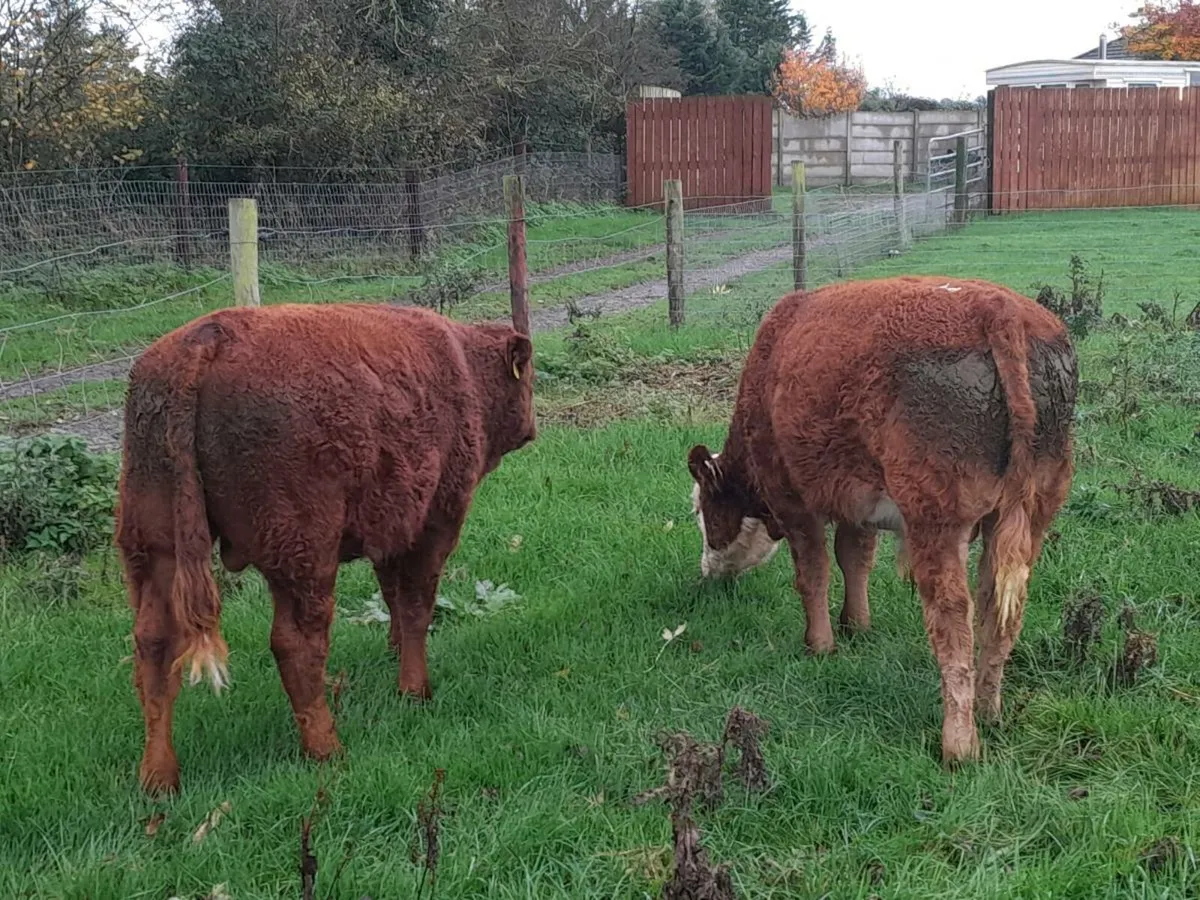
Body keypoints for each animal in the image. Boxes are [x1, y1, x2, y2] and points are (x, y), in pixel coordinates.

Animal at [115, 302, 536, 794]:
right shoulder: (434, 521)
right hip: (303, 557)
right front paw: (415, 690)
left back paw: (158, 776)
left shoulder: (389, 527)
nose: (532, 428)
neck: (463, 364)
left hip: (156, 551)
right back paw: (326, 748)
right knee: (296, 644)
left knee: (154, 645)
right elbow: (417, 604)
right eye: (528, 377)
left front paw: (394, 652)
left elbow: (392, 595)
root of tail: (208, 336)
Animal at [687, 276, 1077, 764]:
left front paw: (820, 644)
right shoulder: (857, 503)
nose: (706, 571)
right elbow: (855, 558)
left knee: (953, 615)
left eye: (701, 512)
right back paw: (989, 712)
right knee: (1000, 607)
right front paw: (856, 624)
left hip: (935, 516)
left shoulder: (794, 502)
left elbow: (813, 573)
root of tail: (999, 308)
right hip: (1036, 506)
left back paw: (959, 744)